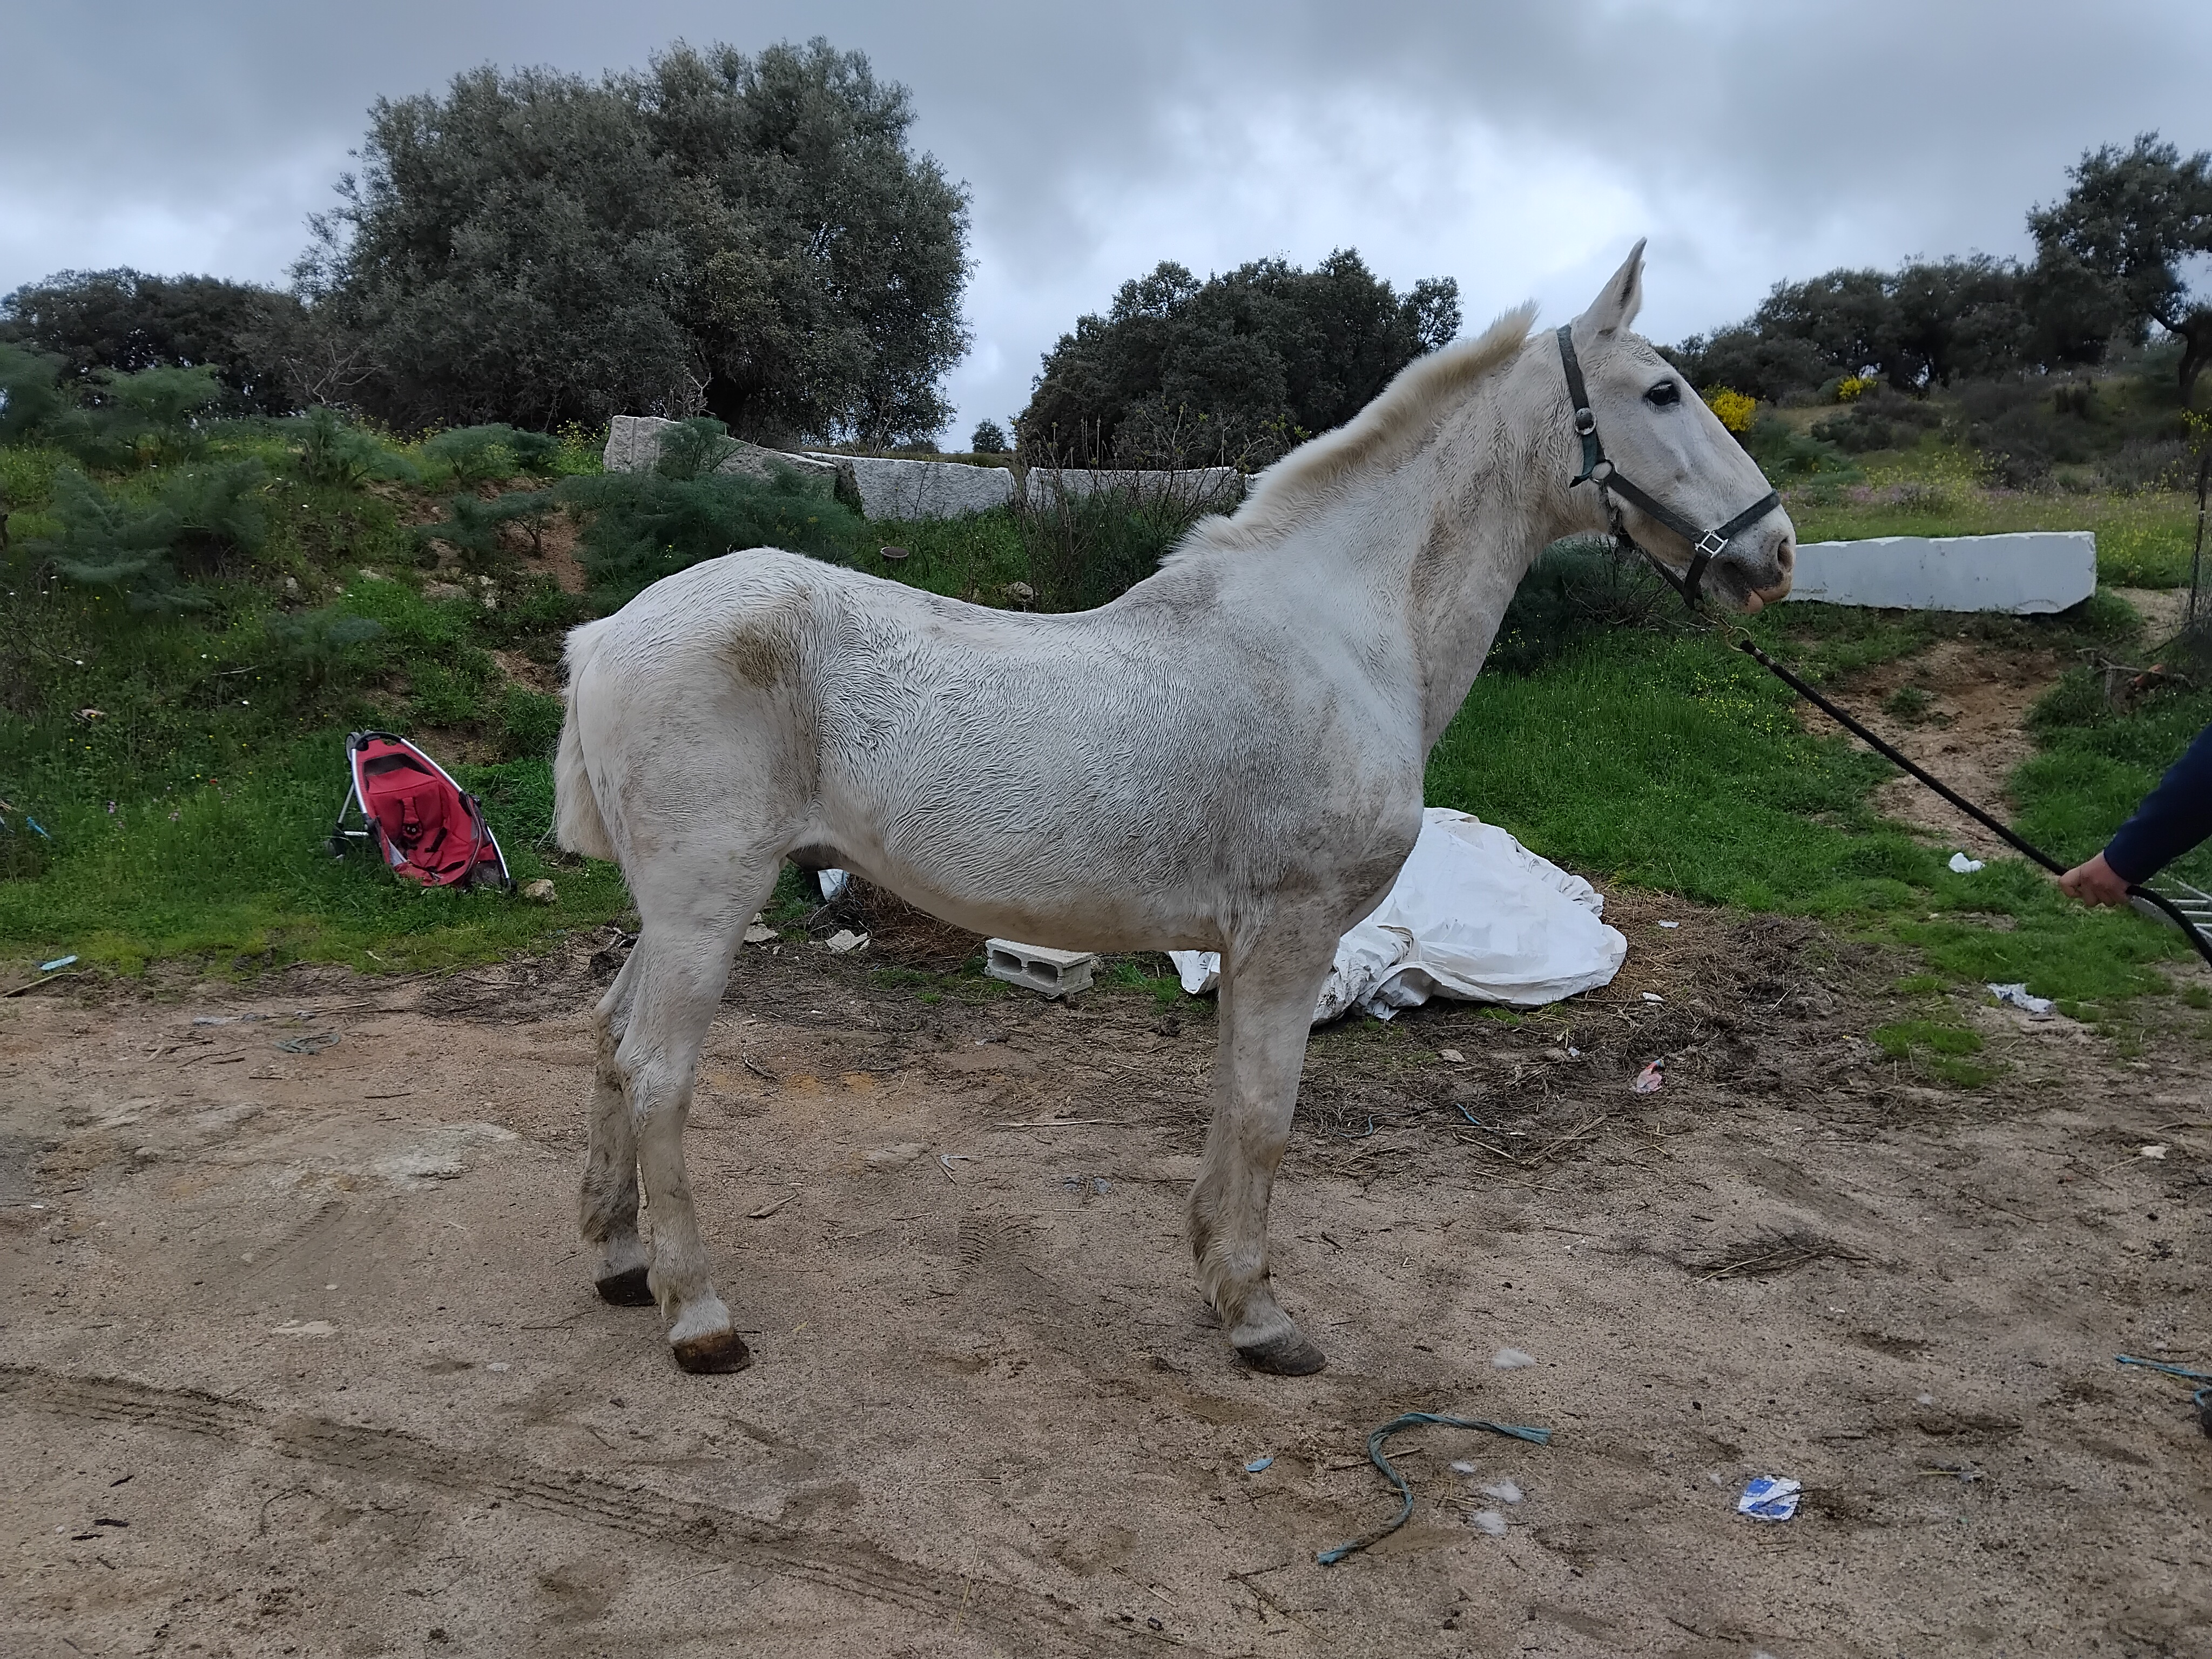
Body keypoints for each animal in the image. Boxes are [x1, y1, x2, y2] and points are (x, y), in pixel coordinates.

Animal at [554, 243, 1794, 1376]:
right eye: (1662, 392)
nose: (1775, 551)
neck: (1336, 638)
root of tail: (608, 632)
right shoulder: (1294, 934)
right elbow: (1266, 1115)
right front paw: (1259, 1316)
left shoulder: (1250, 947)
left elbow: (1232, 1106)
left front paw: (1220, 1278)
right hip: (708, 902)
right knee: (658, 1073)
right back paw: (699, 1316)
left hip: (677, 909)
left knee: (611, 1041)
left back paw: (618, 1261)